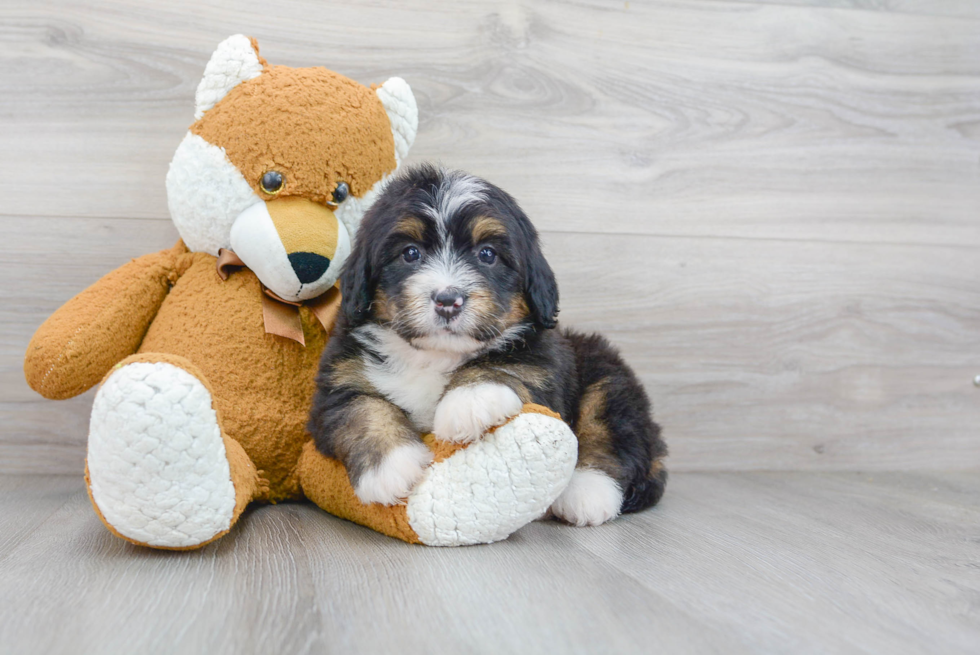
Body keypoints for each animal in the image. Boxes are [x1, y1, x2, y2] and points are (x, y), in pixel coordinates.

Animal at [310, 165, 668, 528]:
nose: (448, 299)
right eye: (410, 253)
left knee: (608, 430)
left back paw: (586, 492)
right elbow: (362, 409)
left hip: (605, 372)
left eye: (487, 254)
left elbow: (503, 364)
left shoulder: (542, 363)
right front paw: (392, 467)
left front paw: (469, 399)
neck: (436, 356)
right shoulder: (339, 377)